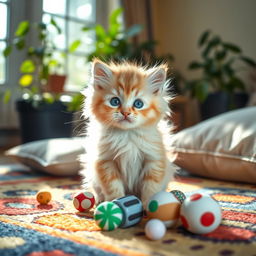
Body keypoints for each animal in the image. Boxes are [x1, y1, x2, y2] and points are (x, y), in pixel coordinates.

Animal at [81, 58, 177, 206]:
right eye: (115, 101)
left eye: (138, 104)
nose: (125, 113)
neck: (127, 135)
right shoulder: (105, 161)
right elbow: (113, 186)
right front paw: (115, 202)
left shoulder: (154, 159)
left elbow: (151, 186)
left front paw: (149, 206)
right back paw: (99, 200)